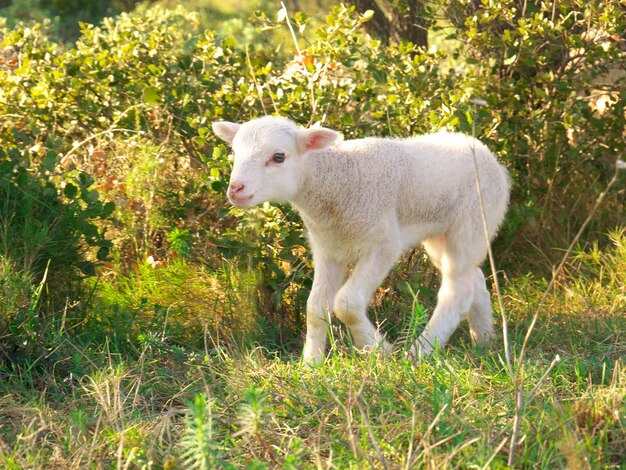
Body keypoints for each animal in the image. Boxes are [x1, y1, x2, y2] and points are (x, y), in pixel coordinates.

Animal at [212, 115, 510, 366]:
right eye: (234, 153)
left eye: (278, 156)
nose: (236, 189)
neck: (336, 182)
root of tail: (484, 151)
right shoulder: (327, 248)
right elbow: (314, 307)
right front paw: (311, 364)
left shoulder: (383, 244)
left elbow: (346, 303)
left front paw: (378, 349)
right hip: (441, 234)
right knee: (474, 281)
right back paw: (485, 340)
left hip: (473, 219)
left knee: (456, 290)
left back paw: (420, 350)